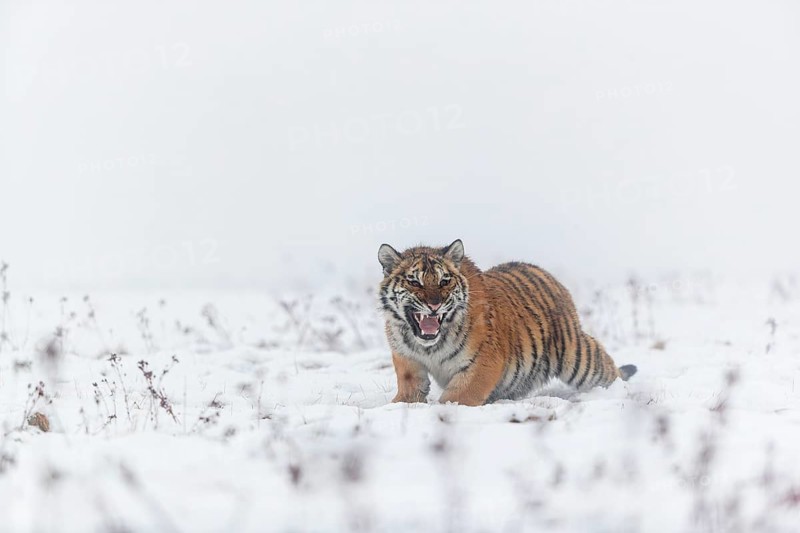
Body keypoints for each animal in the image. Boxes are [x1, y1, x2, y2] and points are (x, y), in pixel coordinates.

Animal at [378, 239, 637, 406]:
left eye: (444, 281)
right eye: (414, 282)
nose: (434, 304)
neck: (428, 346)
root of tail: (549, 275)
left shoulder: (483, 362)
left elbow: (457, 397)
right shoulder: (407, 359)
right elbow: (409, 391)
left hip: (579, 357)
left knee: (609, 369)